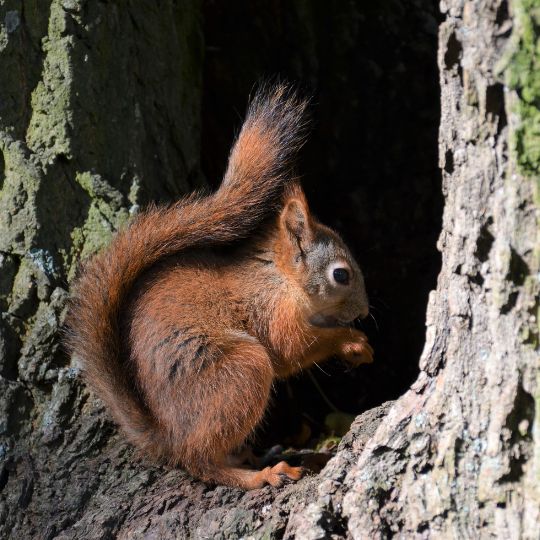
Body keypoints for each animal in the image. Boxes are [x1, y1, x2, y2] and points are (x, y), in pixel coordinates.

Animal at [65, 83, 374, 490]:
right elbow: (291, 348)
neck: (278, 278)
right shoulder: (270, 312)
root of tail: (168, 438)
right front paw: (350, 340)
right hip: (240, 371)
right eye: (341, 275)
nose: (365, 311)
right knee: (201, 461)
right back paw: (260, 475)